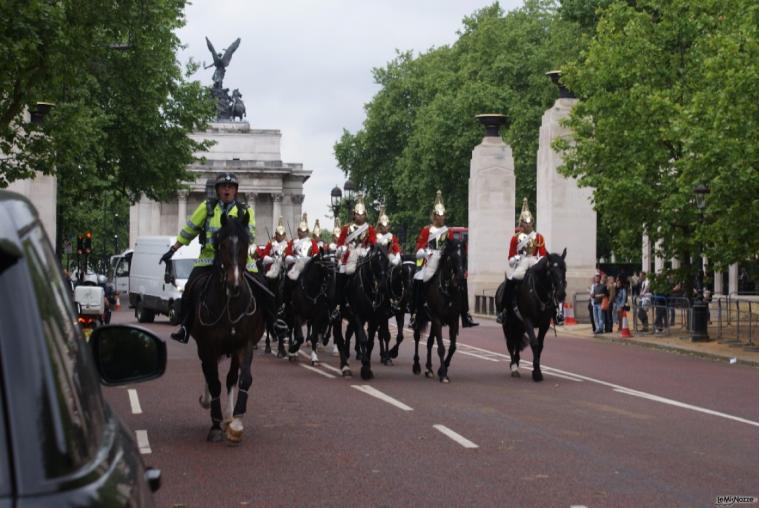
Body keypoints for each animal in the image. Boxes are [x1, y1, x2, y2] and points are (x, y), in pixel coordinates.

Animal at [190, 210, 268, 440]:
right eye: (222, 244)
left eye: (245, 243)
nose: (234, 285)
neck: (229, 305)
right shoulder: (207, 345)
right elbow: (213, 380)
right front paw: (215, 424)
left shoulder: (245, 344)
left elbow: (243, 379)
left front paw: (236, 421)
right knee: (209, 372)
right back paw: (209, 405)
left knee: (230, 377)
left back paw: (228, 417)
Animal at [412, 237, 466, 380]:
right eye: (451, 257)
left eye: (464, 255)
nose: (460, 278)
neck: (448, 291)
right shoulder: (437, 319)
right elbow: (441, 347)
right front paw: (444, 375)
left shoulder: (453, 320)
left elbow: (452, 347)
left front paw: (443, 369)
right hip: (420, 316)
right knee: (417, 337)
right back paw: (417, 366)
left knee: (430, 341)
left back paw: (429, 369)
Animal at [498, 250, 564, 380]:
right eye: (551, 271)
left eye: (564, 269)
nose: (561, 294)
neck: (539, 292)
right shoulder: (528, 320)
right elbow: (534, 343)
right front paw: (537, 373)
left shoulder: (544, 324)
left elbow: (540, 345)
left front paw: (536, 369)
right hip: (508, 325)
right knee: (510, 344)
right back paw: (514, 367)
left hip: (520, 326)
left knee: (517, 341)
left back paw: (517, 361)